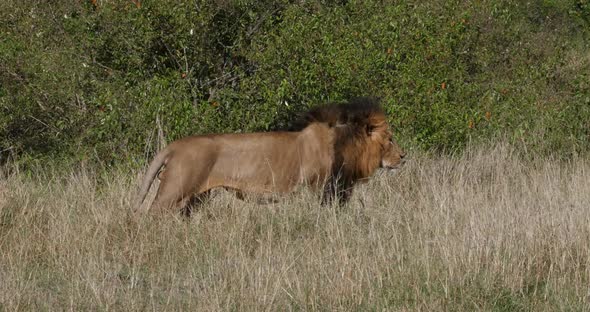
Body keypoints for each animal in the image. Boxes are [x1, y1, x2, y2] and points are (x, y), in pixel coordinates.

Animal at [135, 98, 408, 214]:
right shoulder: (317, 188)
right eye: (390, 139)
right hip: (173, 191)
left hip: (196, 197)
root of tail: (173, 146)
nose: (404, 156)